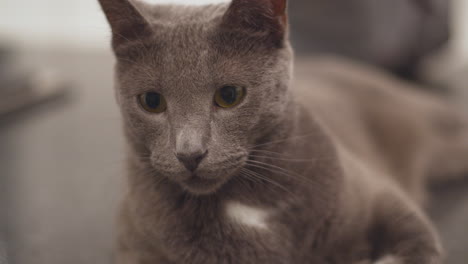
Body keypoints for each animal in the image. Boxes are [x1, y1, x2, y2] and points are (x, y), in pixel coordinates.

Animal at [98, 0, 468, 262]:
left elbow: (415, 241)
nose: (190, 153)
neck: (246, 203)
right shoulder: (134, 246)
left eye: (229, 95)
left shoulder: (384, 196)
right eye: (151, 101)